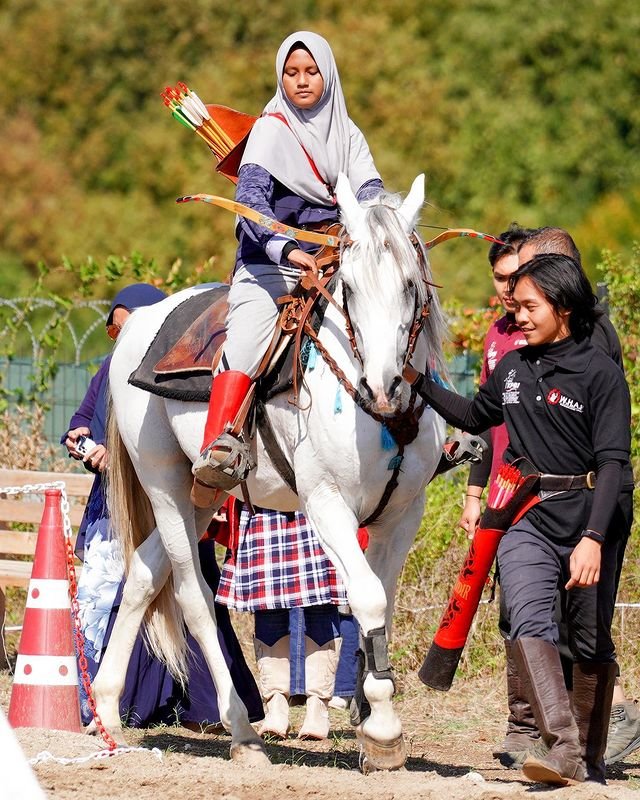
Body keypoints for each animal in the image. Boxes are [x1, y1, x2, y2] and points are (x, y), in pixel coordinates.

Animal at [96, 173, 444, 768]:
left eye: (408, 283)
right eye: (349, 289)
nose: (383, 385)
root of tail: (139, 324)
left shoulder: (403, 513)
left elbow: (383, 605)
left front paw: (374, 722)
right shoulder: (327, 505)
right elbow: (368, 597)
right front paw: (383, 729)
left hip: (203, 494)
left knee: (143, 573)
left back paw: (106, 709)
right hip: (163, 483)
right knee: (191, 596)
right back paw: (242, 731)